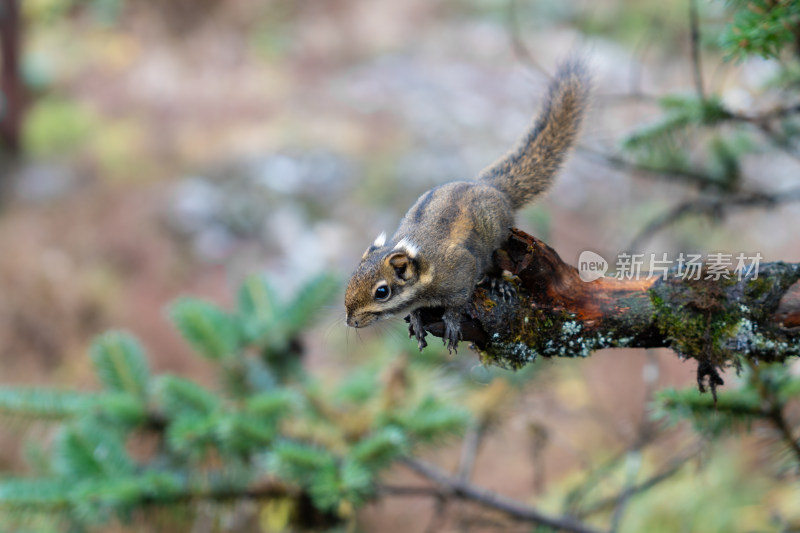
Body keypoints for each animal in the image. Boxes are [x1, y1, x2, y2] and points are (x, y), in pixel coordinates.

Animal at [342, 58, 588, 352]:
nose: (350, 321)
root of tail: (491, 188)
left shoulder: (461, 269)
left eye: (382, 291)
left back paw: (496, 281)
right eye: (353, 276)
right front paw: (417, 318)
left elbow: (457, 303)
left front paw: (450, 320)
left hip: (496, 240)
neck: (425, 266)